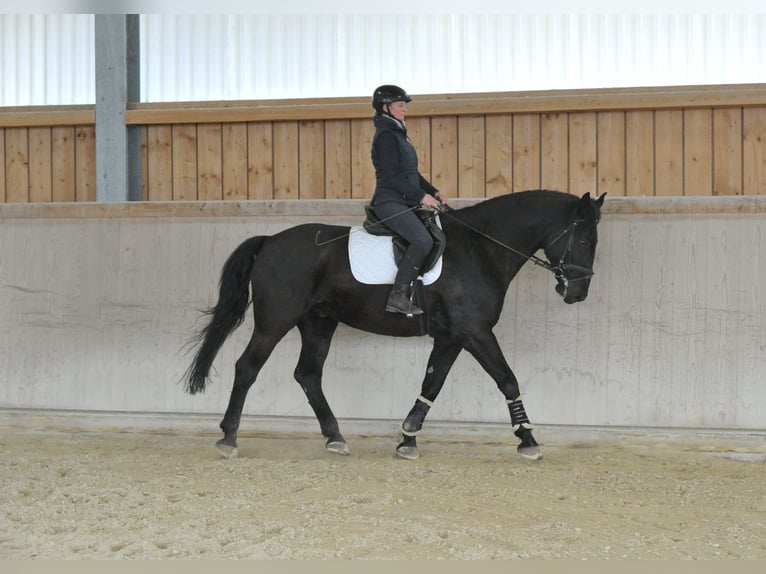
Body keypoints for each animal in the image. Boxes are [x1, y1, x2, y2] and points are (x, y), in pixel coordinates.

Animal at [184, 189, 605, 461]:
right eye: (585, 237)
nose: (577, 292)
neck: (481, 249)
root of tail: (270, 240)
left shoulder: (452, 337)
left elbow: (431, 384)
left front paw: (407, 439)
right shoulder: (476, 333)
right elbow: (508, 380)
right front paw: (528, 439)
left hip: (318, 323)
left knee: (308, 375)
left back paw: (335, 438)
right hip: (275, 322)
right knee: (247, 368)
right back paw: (229, 438)